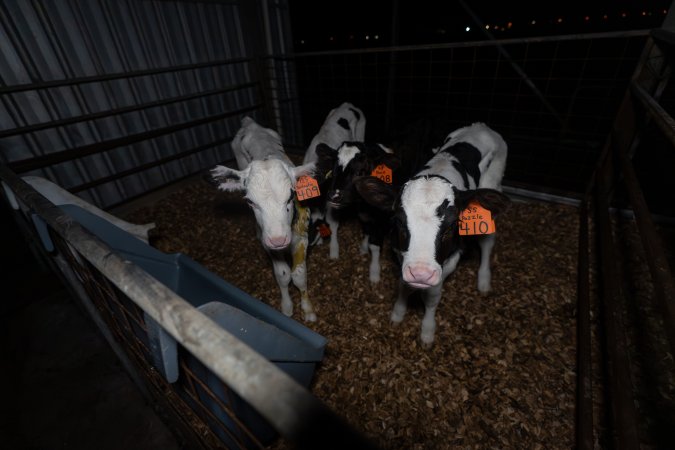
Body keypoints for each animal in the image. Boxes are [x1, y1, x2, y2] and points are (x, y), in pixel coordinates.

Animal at [210, 116, 317, 321]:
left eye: (291, 196)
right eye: (250, 202)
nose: (278, 239)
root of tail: (250, 123)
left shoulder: (302, 236)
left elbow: (299, 275)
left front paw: (308, 310)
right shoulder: (268, 244)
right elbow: (283, 275)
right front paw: (287, 308)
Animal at [355, 122, 510, 345]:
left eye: (452, 226)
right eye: (398, 221)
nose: (421, 273)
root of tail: (482, 126)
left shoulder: (449, 262)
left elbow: (432, 297)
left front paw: (427, 331)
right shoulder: (401, 254)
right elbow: (403, 286)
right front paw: (397, 314)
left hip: (493, 188)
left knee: (487, 241)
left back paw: (483, 280)